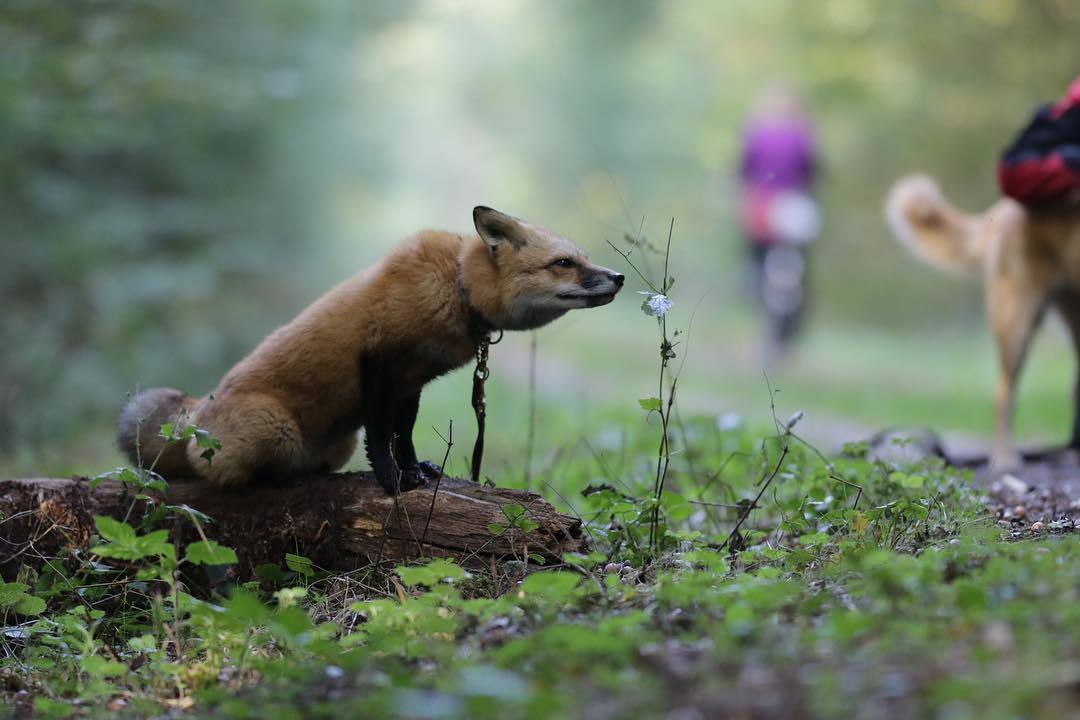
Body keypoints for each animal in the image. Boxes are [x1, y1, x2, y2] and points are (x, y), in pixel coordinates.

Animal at [118, 205, 626, 492]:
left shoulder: (412, 381)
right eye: (564, 263)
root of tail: (194, 418)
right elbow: (382, 435)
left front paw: (415, 471)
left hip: (334, 443)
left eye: (582, 258)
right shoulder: (379, 363)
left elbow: (405, 435)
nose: (620, 276)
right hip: (275, 429)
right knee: (215, 476)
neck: (456, 286)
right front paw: (391, 481)